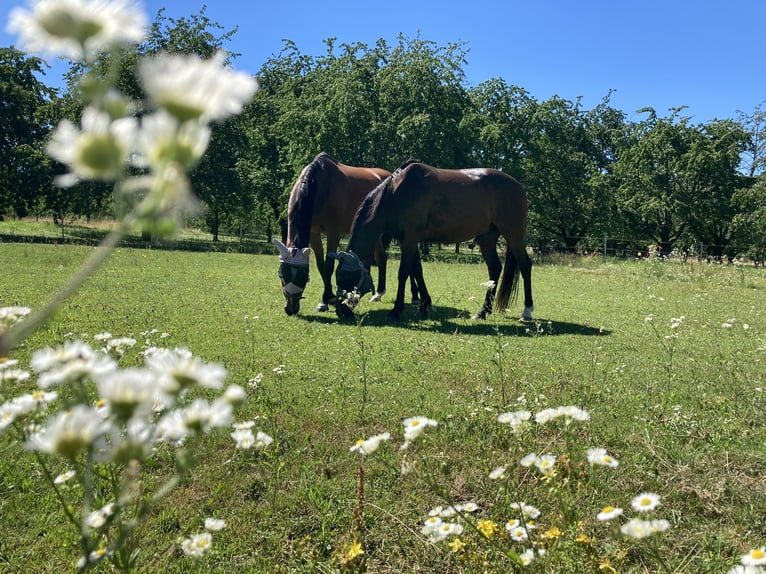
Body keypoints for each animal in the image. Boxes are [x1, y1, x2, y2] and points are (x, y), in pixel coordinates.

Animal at [278, 152, 420, 316]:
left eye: (302, 276)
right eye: (282, 274)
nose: (291, 308)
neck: (319, 186)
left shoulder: (333, 233)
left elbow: (329, 266)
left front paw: (325, 300)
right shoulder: (314, 233)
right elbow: (321, 266)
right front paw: (330, 297)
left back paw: (415, 297)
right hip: (375, 233)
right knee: (381, 258)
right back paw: (378, 294)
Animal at [336, 162, 536, 324]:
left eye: (347, 277)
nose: (341, 311)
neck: (397, 193)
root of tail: (518, 186)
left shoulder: (410, 239)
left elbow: (404, 273)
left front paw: (396, 311)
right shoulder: (407, 240)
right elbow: (417, 271)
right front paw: (425, 305)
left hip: (513, 234)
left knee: (525, 265)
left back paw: (527, 311)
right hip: (488, 238)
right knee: (494, 268)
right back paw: (482, 312)